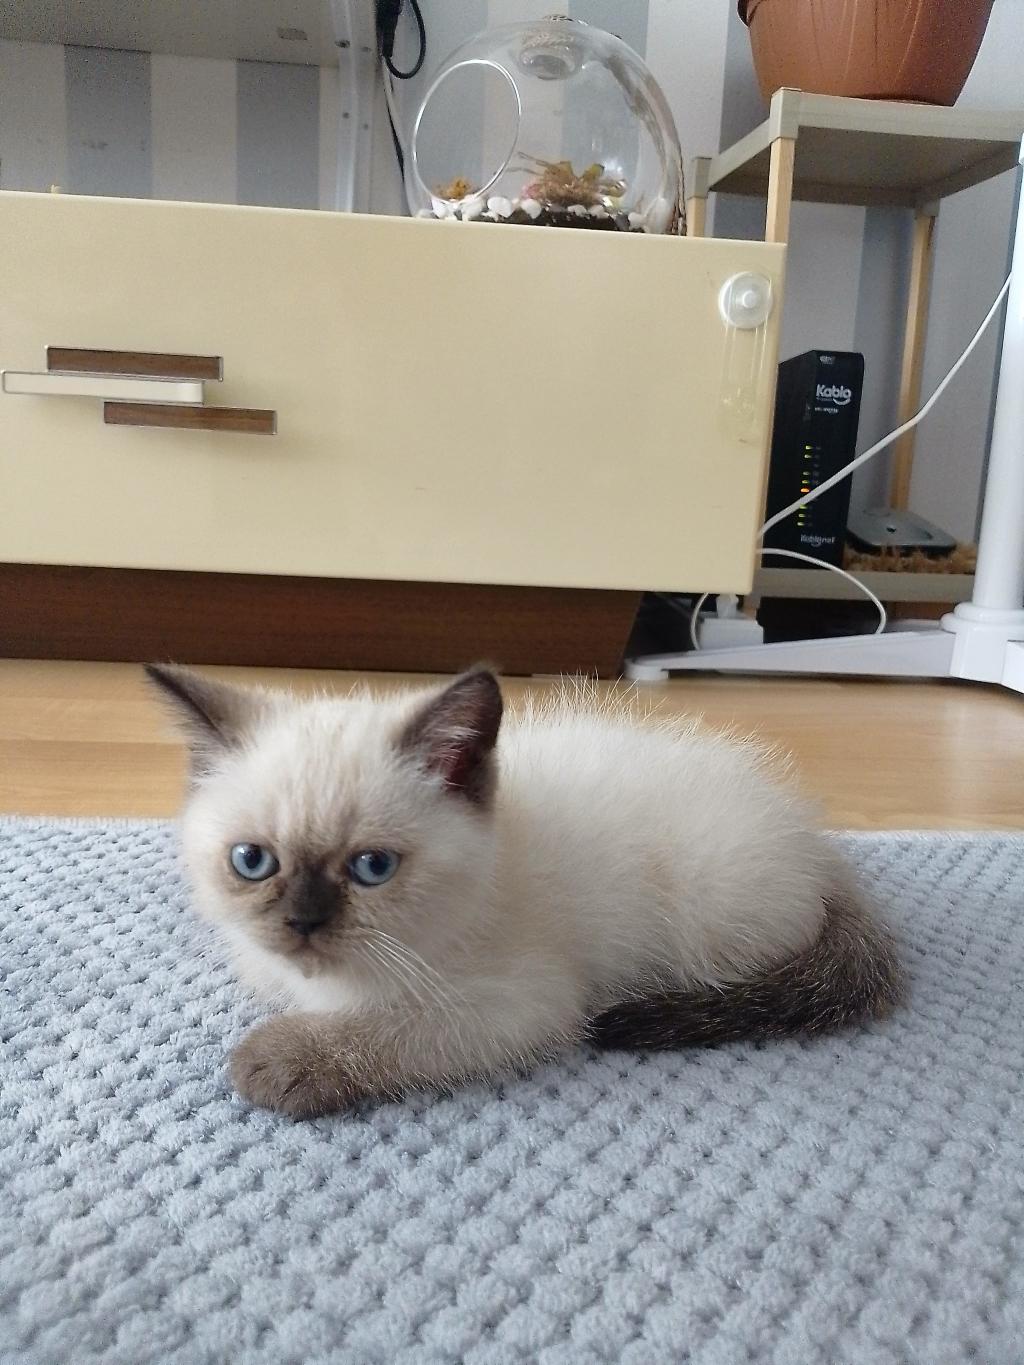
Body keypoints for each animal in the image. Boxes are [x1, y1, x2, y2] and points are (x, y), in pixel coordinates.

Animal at [147, 663, 903, 1118]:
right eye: (252, 861)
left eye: (372, 868)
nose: (302, 923)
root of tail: (815, 841)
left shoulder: (520, 1002)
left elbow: (388, 1027)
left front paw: (277, 1060)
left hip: (713, 920)